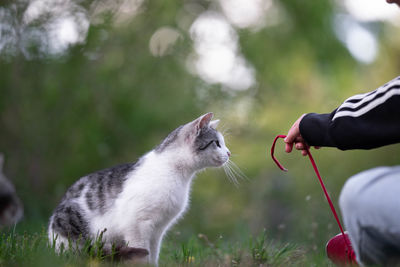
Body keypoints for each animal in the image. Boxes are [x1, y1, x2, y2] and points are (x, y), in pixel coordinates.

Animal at [47, 113, 231, 266]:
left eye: (223, 143)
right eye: (217, 143)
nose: (229, 153)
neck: (177, 174)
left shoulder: (158, 229)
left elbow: (153, 253)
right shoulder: (136, 224)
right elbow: (142, 252)